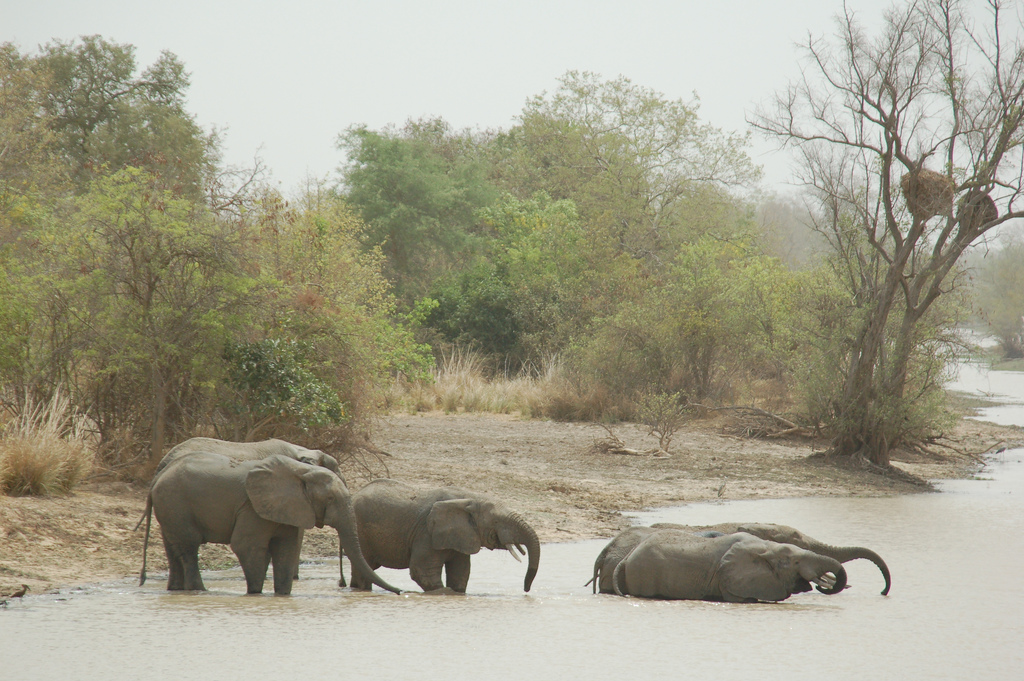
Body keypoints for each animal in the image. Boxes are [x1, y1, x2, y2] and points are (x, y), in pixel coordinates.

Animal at [138, 450, 401, 593]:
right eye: (329, 499)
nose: (400, 592)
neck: (300, 471)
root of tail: (156, 479)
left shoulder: (288, 508)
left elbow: (286, 549)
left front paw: (283, 596)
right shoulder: (252, 507)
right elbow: (246, 546)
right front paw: (255, 593)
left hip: (170, 508)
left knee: (173, 548)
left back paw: (176, 589)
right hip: (176, 503)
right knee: (189, 548)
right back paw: (199, 590)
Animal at [610, 524, 843, 602]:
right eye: (794, 562)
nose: (822, 585)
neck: (765, 546)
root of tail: (627, 557)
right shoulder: (733, 582)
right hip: (644, 575)